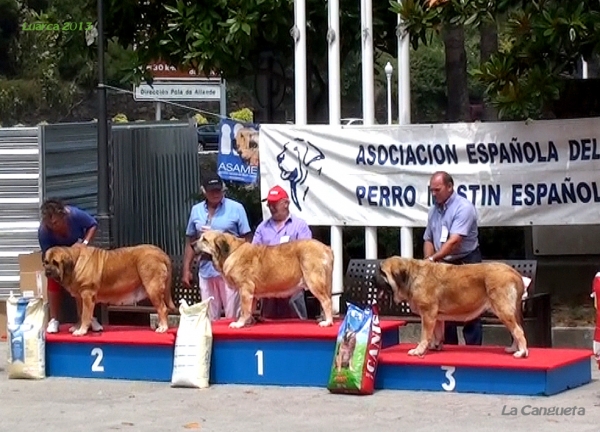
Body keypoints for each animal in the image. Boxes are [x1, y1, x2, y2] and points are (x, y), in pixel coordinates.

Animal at [42, 245, 176, 336]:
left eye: (56, 263)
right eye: (46, 262)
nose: (47, 272)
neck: (75, 262)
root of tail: (161, 253)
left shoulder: (87, 295)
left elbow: (85, 315)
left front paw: (81, 331)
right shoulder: (79, 298)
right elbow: (80, 313)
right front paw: (77, 327)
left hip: (152, 288)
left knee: (162, 308)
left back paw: (163, 328)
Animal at [378, 256, 528, 358]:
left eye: (382, 272)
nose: (374, 279)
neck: (411, 275)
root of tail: (514, 272)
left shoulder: (428, 314)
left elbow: (425, 335)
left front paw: (419, 350)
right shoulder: (436, 317)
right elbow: (437, 334)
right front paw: (435, 346)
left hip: (503, 310)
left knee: (518, 331)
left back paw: (521, 352)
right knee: (516, 330)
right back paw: (514, 349)